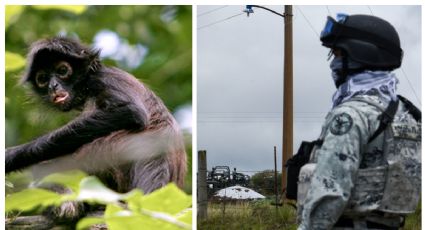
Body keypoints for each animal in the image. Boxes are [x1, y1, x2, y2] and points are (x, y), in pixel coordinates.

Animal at [4, 37, 186, 219]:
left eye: (62, 70)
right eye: (42, 79)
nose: (53, 86)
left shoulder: (102, 79)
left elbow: (131, 112)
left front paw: (13, 156)